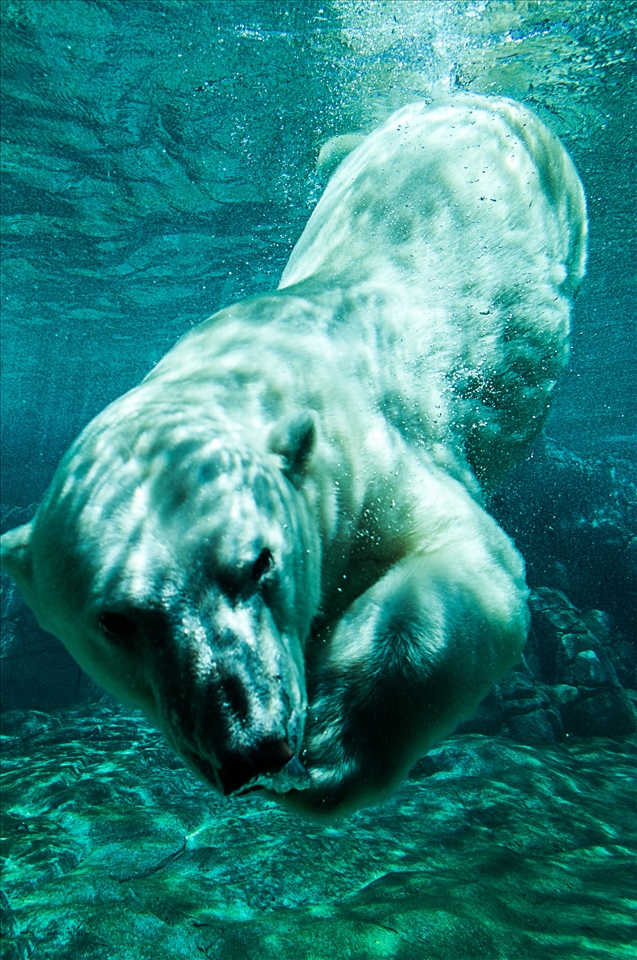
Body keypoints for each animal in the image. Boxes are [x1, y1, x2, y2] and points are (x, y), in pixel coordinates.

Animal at [0, 95, 587, 818]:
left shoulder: (376, 458)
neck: (256, 370)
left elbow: (468, 567)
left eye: (260, 562)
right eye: (115, 620)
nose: (253, 747)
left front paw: (335, 749)